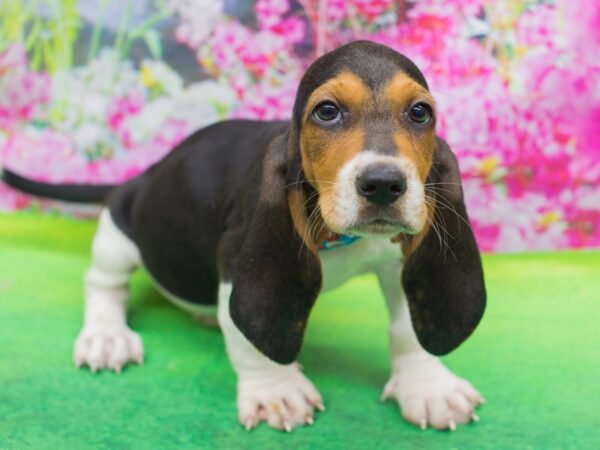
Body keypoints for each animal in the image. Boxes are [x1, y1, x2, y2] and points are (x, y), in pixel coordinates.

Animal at [5, 40, 488, 430]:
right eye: (327, 111)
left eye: (420, 112)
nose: (384, 183)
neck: (340, 237)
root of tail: (142, 176)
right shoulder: (237, 258)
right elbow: (247, 339)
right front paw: (276, 391)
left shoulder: (399, 262)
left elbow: (409, 326)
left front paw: (429, 387)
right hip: (117, 234)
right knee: (104, 284)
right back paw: (107, 337)